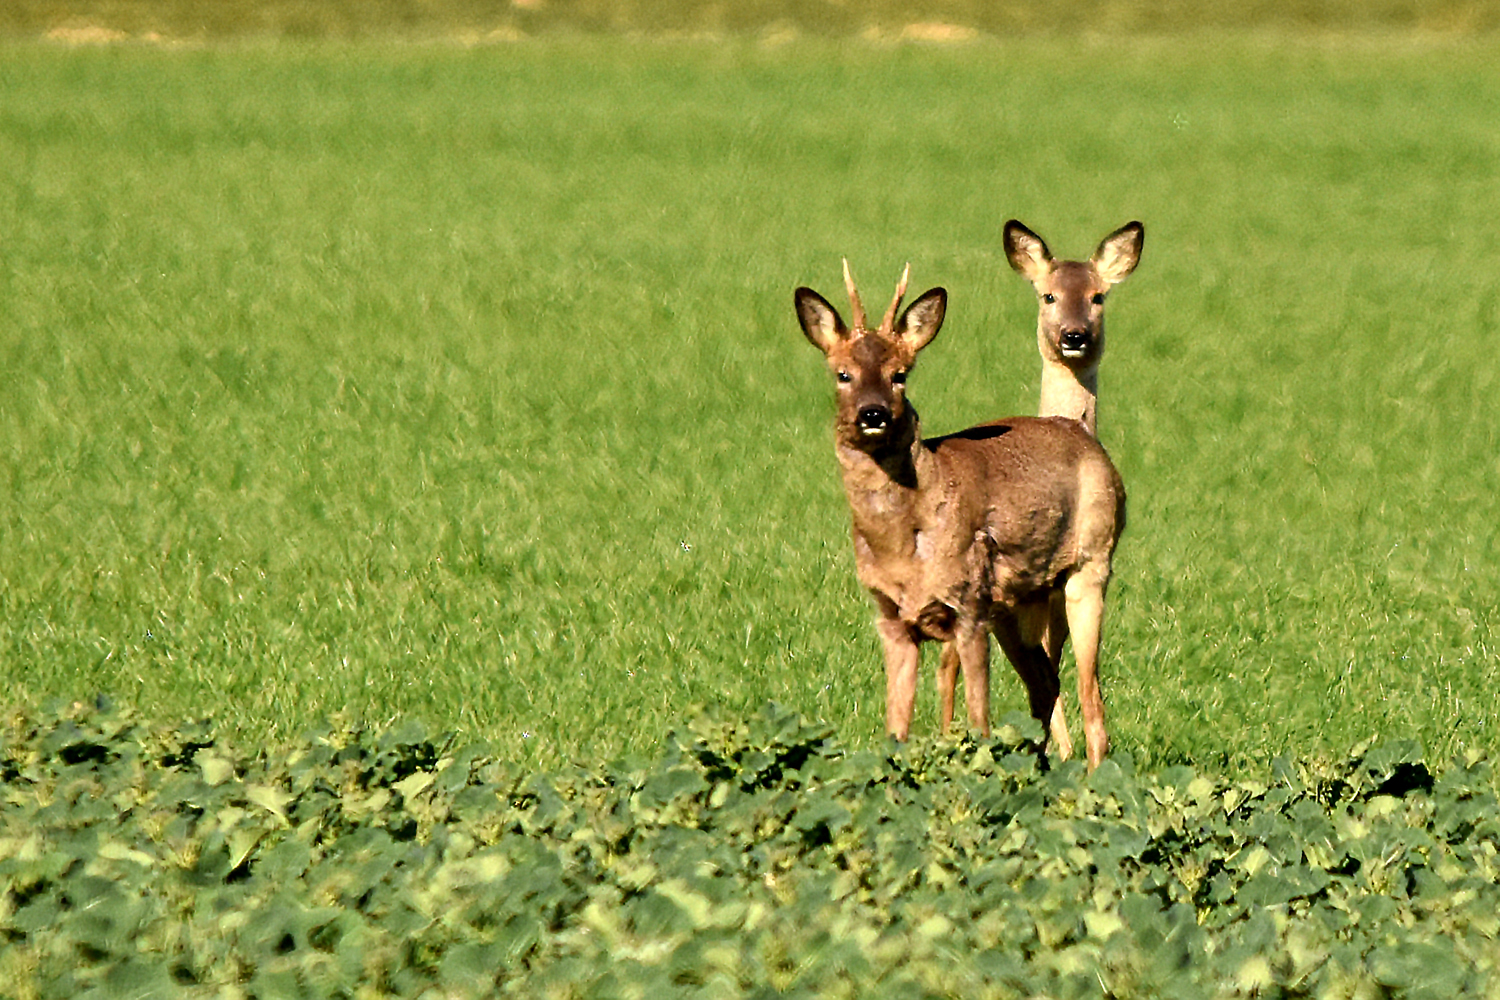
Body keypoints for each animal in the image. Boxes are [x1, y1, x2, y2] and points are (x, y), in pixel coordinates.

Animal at [798, 262, 1128, 773]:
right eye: (842, 373)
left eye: (900, 374)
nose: (873, 414)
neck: (905, 540)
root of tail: (1081, 432)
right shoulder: (890, 617)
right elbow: (896, 730)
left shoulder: (969, 608)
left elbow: (980, 724)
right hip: (1017, 601)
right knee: (1045, 684)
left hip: (1090, 564)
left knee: (1090, 694)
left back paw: (1095, 779)